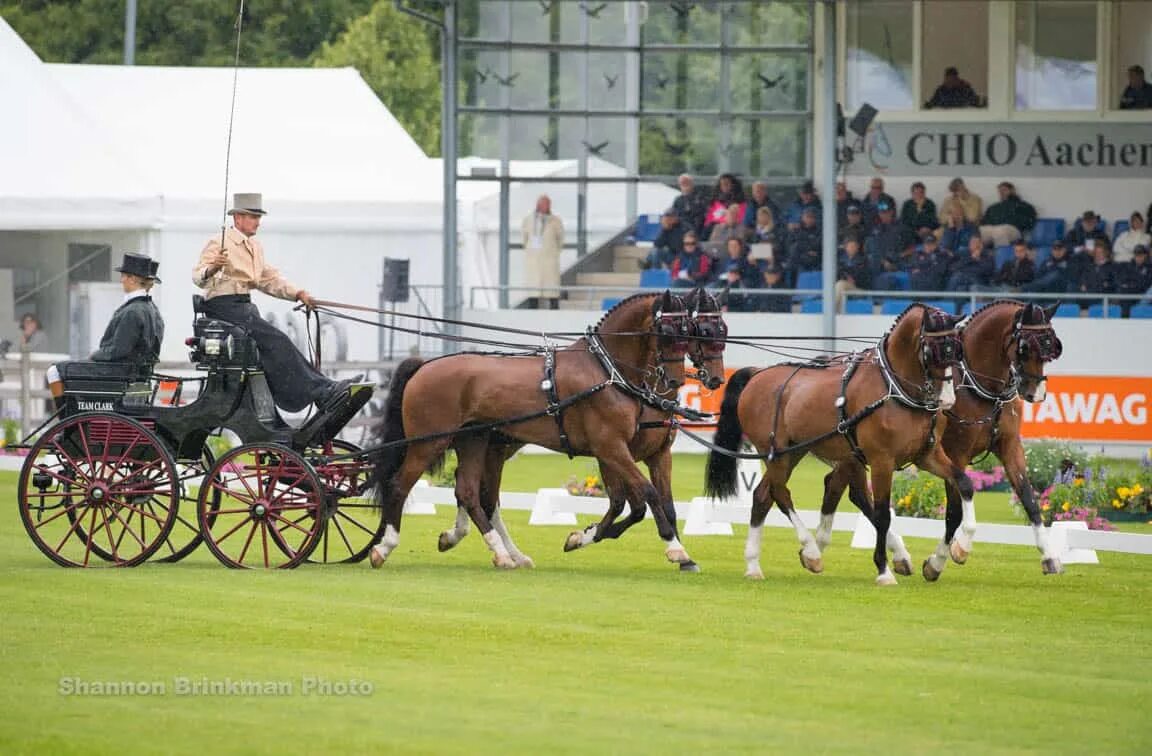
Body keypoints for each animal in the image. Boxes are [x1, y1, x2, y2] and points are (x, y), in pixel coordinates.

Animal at [364, 292, 695, 569]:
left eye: (689, 331)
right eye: (667, 331)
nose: (676, 381)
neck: (605, 370)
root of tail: (424, 366)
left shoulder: (621, 451)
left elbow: (639, 501)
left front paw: (583, 536)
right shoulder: (611, 447)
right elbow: (647, 495)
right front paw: (675, 548)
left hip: (474, 441)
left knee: (469, 492)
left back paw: (500, 553)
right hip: (428, 443)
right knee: (400, 485)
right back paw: (384, 548)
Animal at [705, 301, 967, 585]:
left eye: (957, 351)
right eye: (933, 351)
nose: (948, 399)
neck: (895, 388)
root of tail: (757, 374)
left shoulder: (927, 455)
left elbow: (963, 485)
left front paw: (949, 554)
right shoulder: (881, 461)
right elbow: (882, 514)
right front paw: (883, 570)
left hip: (794, 451)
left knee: (763, 495)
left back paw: (754, 565)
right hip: (775, 452)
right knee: (780, 493)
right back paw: (810, 551)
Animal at [820, 301, 1059, 578]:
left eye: (1051, 347)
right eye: (1024, 347)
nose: (1036, 393)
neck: (976, 386)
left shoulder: (1010, 447)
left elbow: (1029, 498)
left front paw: (1049, 556)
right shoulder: (957, 453)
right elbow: (954, 511)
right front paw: (946, 556)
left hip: (852, 454)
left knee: (840, 487)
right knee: (854, 493)